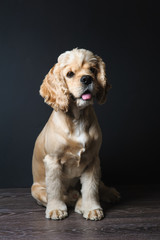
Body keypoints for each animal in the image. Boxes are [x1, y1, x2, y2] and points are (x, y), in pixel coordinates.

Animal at [31, 47, 119, 220]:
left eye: (93, 70)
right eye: (70, 74)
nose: (87, 79)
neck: (78, 118)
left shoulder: (92, 160)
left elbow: (91, 188)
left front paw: (92, 208)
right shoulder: (53, 161)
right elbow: (54, 188)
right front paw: (56, 209)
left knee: (97, 186)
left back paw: (108, 193)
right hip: (36, 190)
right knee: (60, 195)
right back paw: (74, 200)